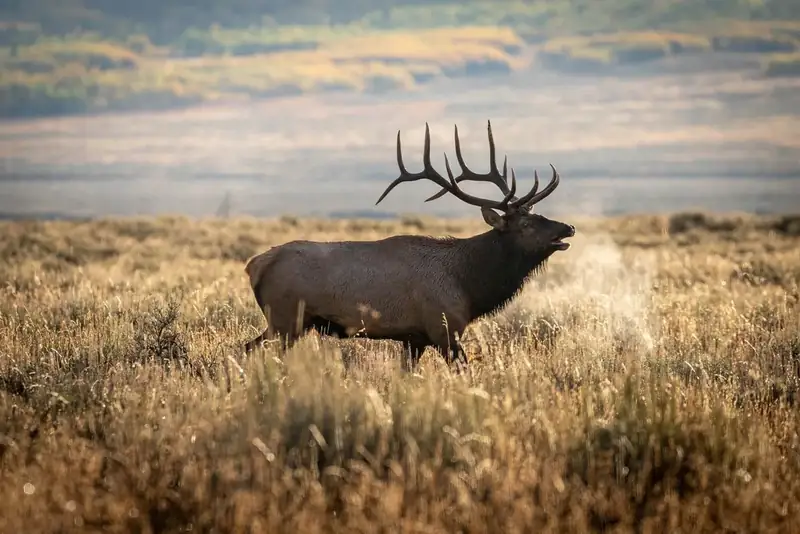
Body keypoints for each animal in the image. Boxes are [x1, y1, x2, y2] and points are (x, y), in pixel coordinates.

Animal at [242, 120, 575, 370]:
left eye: (538, 215)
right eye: (526, 224)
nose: (568, 227)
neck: (469, 285)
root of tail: (254, 265)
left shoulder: (413, 338)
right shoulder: (444, 328)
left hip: (288, 323)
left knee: (247, 347)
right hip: (285, 318)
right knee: (255, 350)